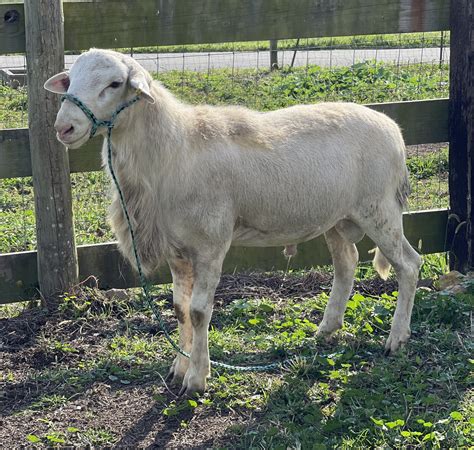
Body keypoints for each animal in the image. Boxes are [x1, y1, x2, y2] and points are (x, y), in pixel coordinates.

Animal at [45, 47, 422, 396]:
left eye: (114, 83)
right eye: (71, 80)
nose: (64, 127)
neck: (173, 149)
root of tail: (394, 130)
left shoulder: (211, 243)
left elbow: (199, 311)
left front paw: (197, 379)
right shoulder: (177, 250)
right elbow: (180, 309)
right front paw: (179, 367)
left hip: (380, 209)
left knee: (409, 265)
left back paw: (397, 338)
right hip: (338, 218)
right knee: (347, 264)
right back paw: (327, 330)